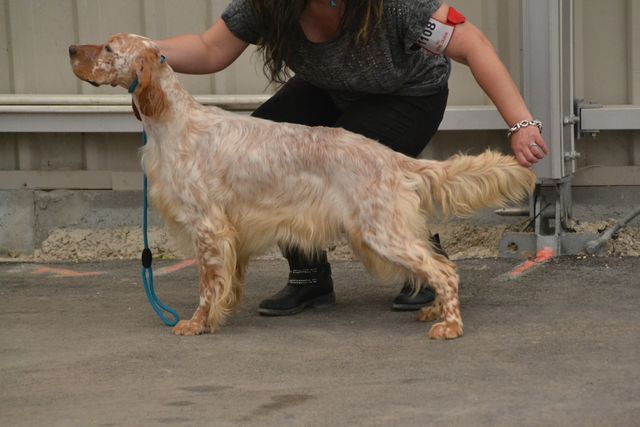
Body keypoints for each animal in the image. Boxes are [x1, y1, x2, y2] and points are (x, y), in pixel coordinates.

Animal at [69, 33, 536, 342]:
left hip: (379, 231)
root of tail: (389, 158)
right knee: (434, 262)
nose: (71, 50)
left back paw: (449, 324)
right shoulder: (231, 234)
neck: (174, 121)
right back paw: (434, 310)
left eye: (109, 49)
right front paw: (223, 312)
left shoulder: (209, 228)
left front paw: (196, 323)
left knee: (442, 269)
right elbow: (226, 283)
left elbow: (206, 286)